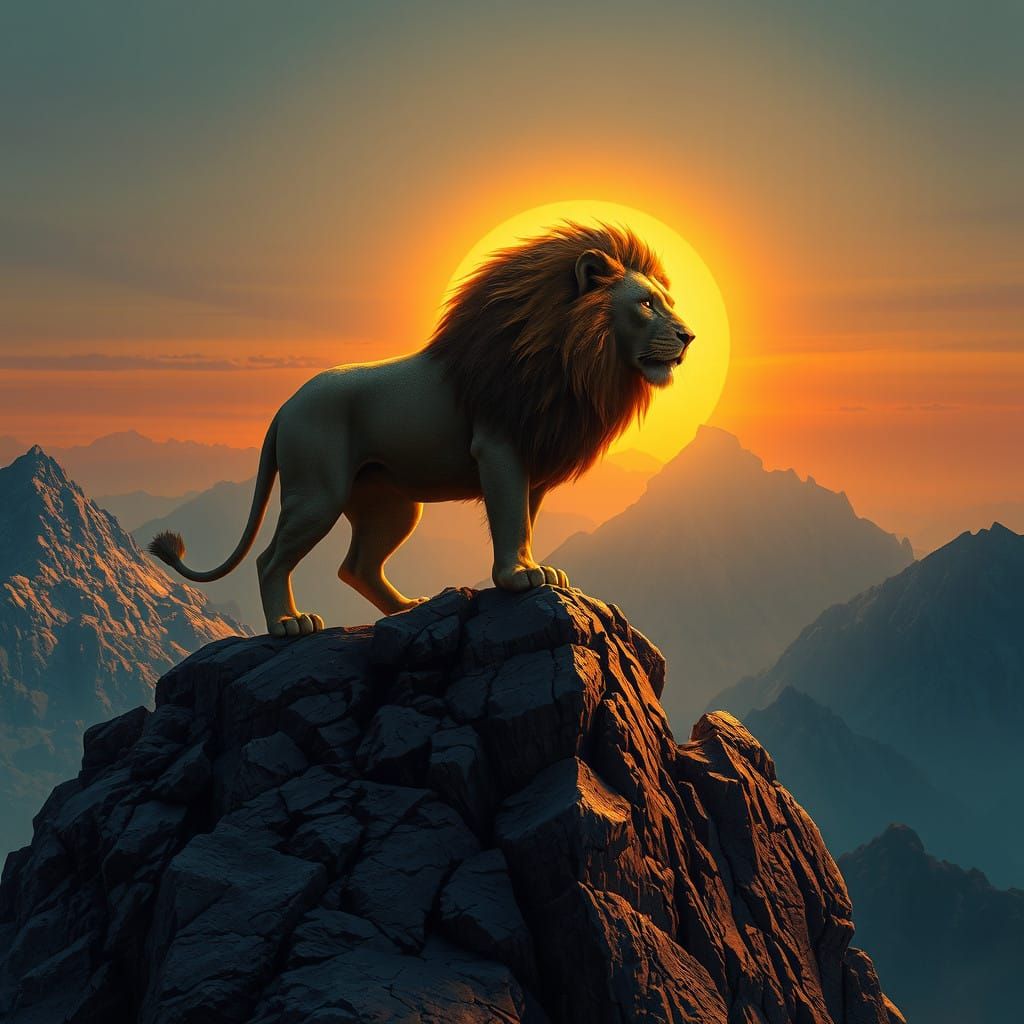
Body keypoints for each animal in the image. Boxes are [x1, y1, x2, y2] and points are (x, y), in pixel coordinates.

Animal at [149, 221, 696, 636]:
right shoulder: (498, 449)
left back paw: (409, 608)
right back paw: (289, 624)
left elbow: (525, 521)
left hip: (391, 504)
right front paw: (519, 576)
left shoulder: (535, 462)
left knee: (356, 566)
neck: (571, 359)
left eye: (667, 301)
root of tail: (285, 407)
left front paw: (536, 568)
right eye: (646, 304)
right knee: (269, 559)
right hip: (317, 492)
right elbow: (509, 519)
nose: (689, 335)